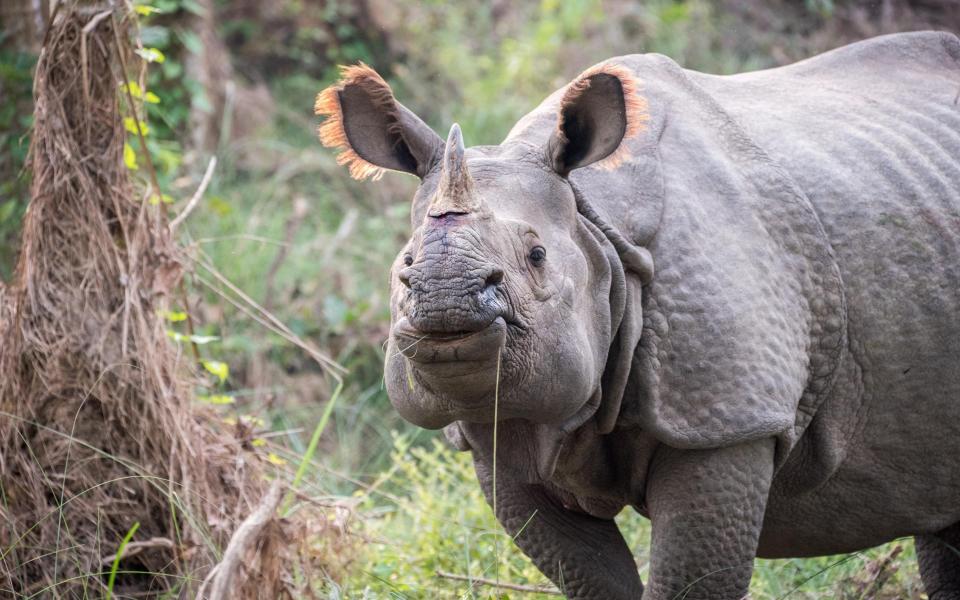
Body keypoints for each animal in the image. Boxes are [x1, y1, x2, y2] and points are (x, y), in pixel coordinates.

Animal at [316, 32, 960, 600]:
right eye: (404, 265)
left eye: (537, 256)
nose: (446, 300)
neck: (600, 230)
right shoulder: (502, 427)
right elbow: (595, 580)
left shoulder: (729, 420)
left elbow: (691, 583)